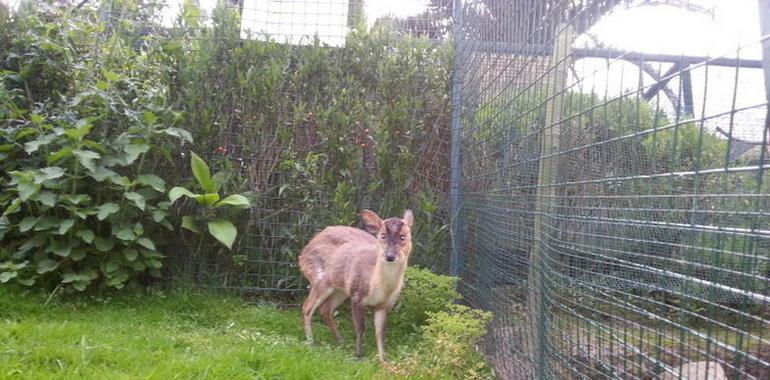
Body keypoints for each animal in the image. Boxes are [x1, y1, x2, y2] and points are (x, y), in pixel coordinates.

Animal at [296, 209, 414, 360]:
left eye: (403, 236)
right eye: (383, 235)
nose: (390, 256)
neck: (379, 286)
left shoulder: (386, 304)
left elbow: (380, 333)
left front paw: (383, 359)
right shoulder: (357, 294)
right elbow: (360, 328)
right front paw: (359, 355)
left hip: (340, 289)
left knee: (325, 309)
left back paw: (340, 341)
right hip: (319, 278)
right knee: (307, 307)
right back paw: (311, 342)